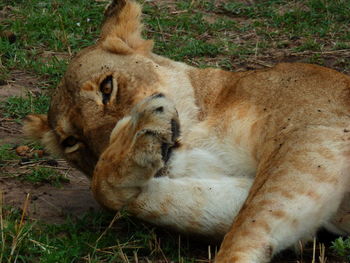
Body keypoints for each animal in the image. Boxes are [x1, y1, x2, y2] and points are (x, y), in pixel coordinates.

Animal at [23, 0, 348, 263]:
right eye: (71, 141)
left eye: (107, 87)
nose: (106, 145)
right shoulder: (251, 190)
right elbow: (108, 190)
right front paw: (132, 149)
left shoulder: (316, 129)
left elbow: (248, 227)